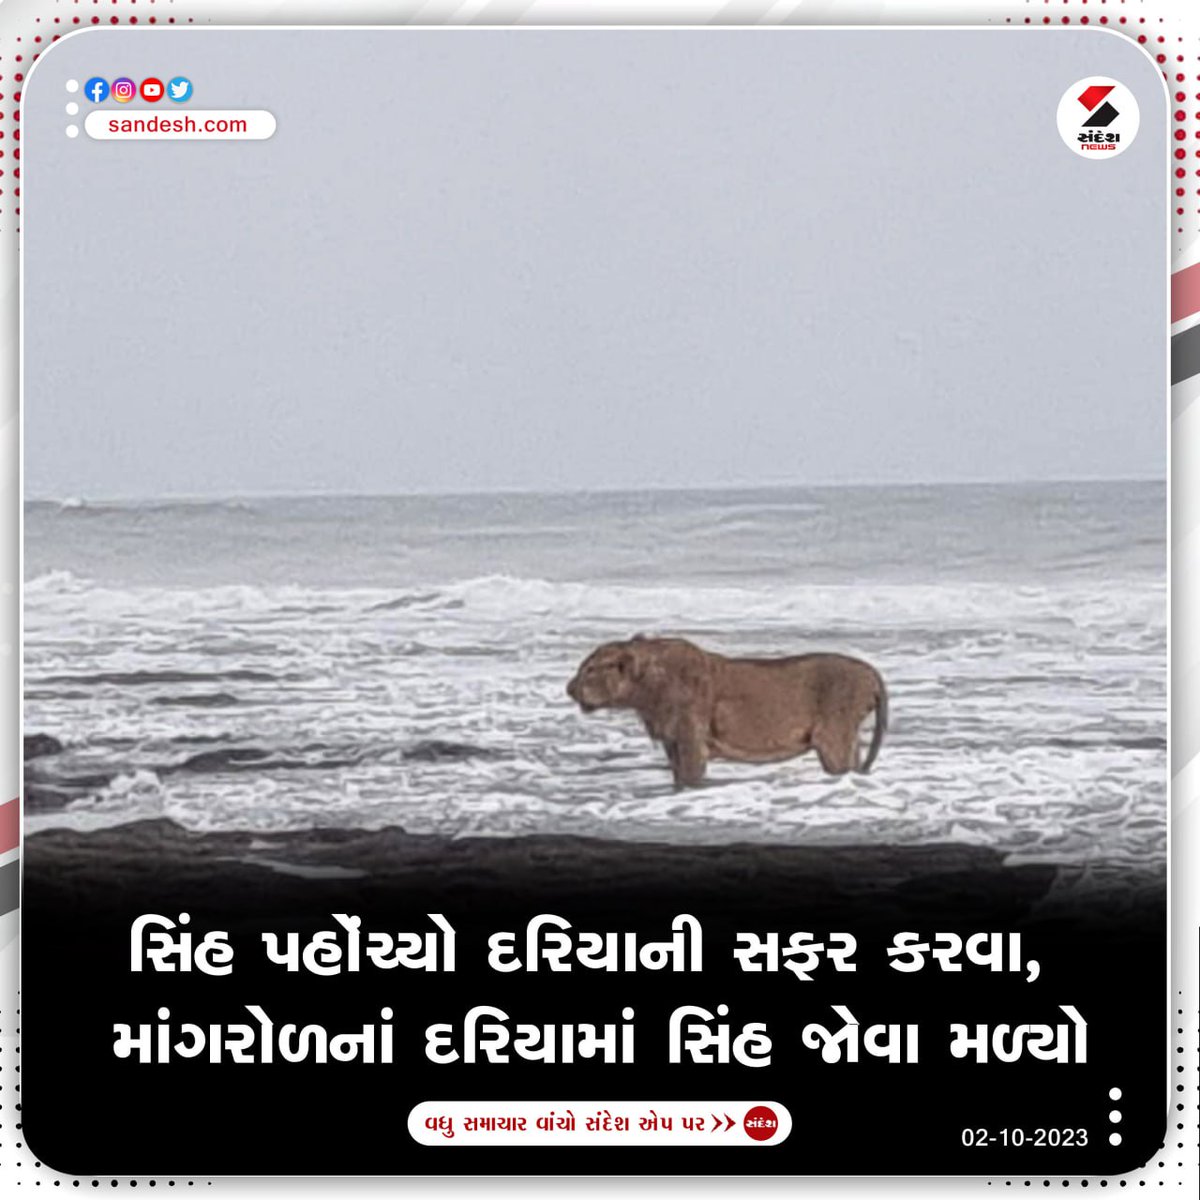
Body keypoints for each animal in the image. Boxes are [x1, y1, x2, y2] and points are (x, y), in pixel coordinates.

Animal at [566, 635, 887, 789]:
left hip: (833, 738)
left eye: (590, 670)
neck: (645, 691)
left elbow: (690, 778)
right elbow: (677, 778)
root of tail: (872, 672)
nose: (569, 689)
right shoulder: (672, 742)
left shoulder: (690, 738)